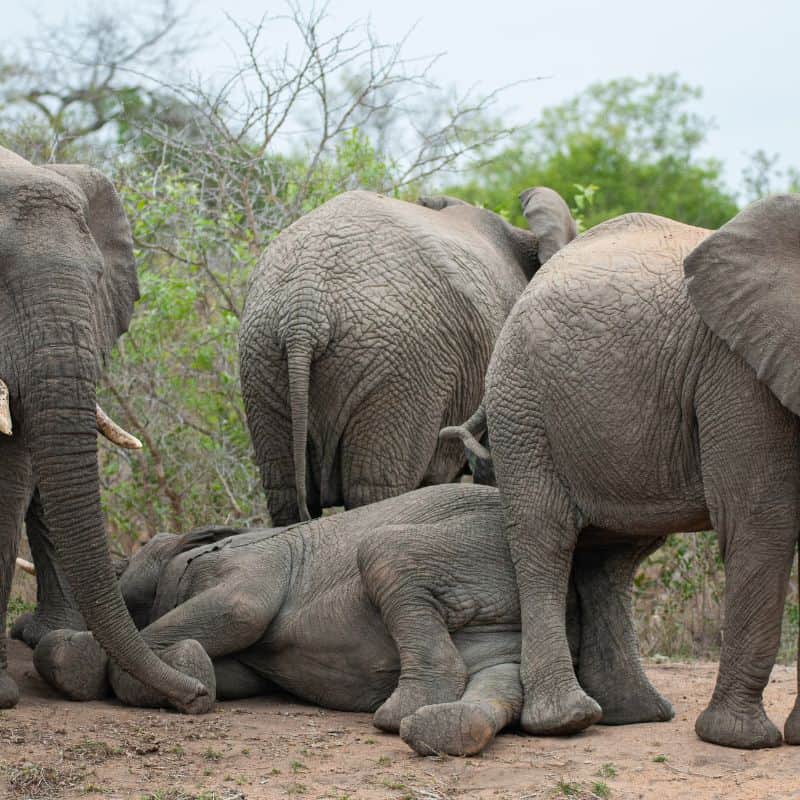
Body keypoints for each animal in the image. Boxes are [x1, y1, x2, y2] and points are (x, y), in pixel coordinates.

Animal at [36, 482, 676, 756]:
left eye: (135, 555)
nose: (117, 565)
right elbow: (237, 672)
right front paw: (196, 676)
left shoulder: (251, 564)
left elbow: (242, 610)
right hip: (511, 633)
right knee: (500, 682)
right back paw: (443, 729)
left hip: (483, 547)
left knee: (386, 554)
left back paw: (398, 715)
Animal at [444, 194, 800, 752]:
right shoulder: (739, 371)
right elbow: (762, 521)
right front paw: (738, 741)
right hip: (524, 403)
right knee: (545, 536)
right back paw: (566, 721)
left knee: (613, 554)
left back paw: (634, 714)